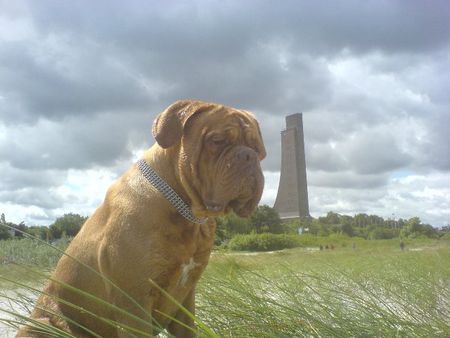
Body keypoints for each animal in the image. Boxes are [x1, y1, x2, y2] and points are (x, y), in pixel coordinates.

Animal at [16, 100, 264, 338]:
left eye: (259, 151)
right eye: (217, 140)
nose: (248, 155)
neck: (187, 212)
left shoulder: (185, 301)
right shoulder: (134, 305)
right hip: (43, 324)